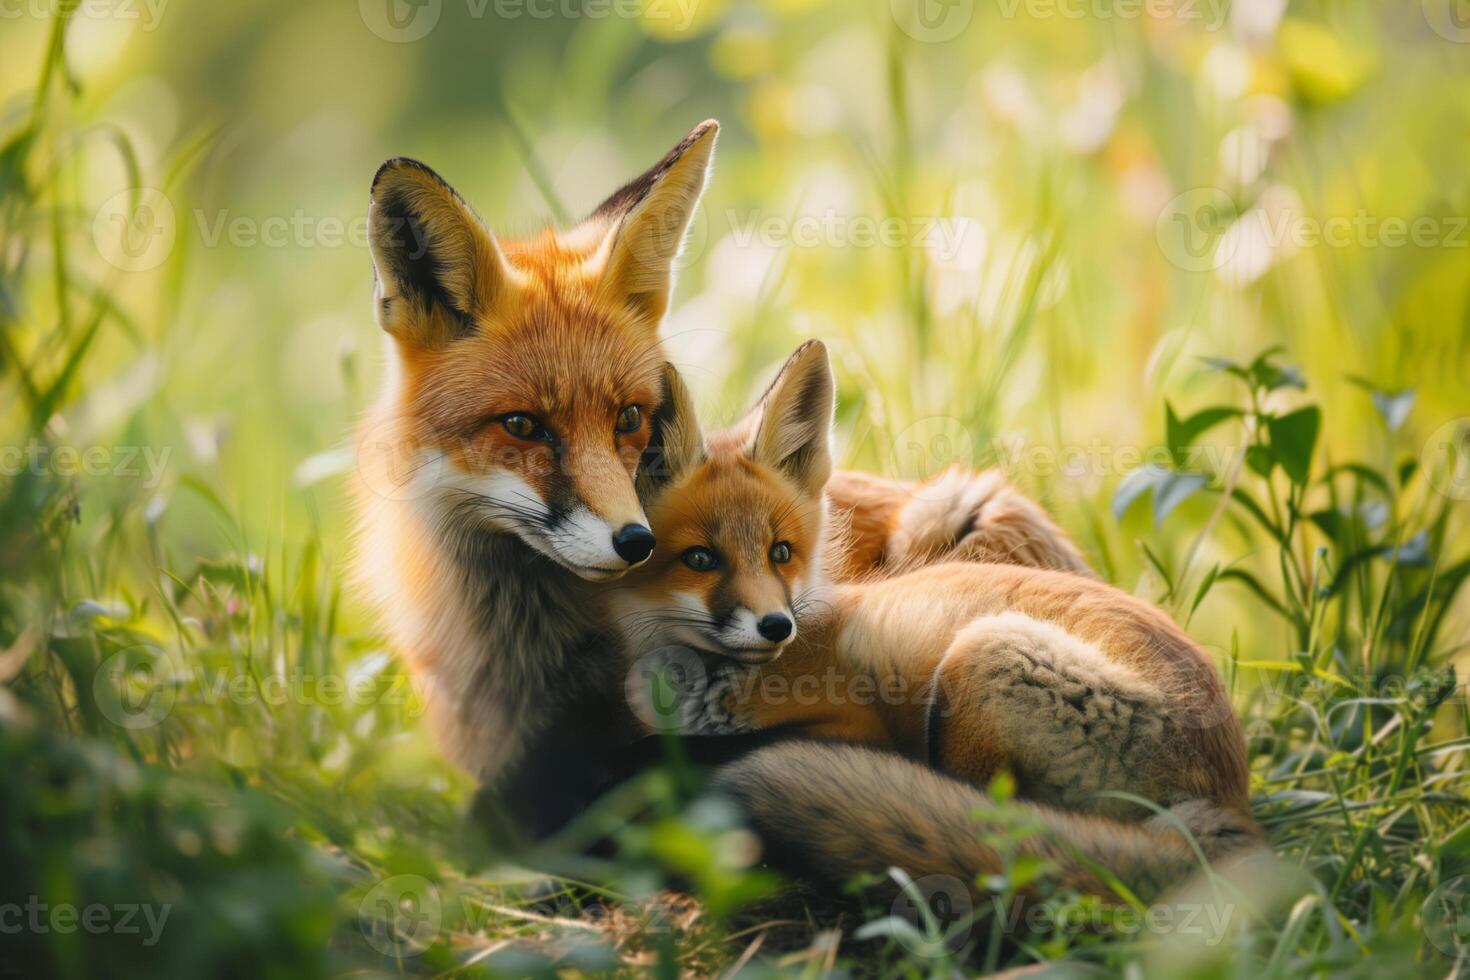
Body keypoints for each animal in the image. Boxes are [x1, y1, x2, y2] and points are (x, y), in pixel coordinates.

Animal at [614, 340, 1258, 899]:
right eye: (700, 559)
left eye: (781, 552)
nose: (777, 626)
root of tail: (1230, 807)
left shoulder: (854, 720)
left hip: (985, 654)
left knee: (994, 821)